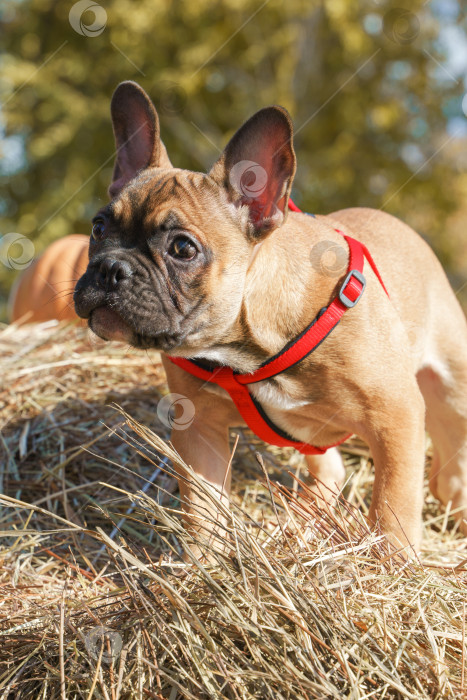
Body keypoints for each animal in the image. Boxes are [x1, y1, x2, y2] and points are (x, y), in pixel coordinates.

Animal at [74, 80, 467, 552]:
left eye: (182, 248)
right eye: (98, 228)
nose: (110, 269)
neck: (247, 346)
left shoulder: (396, 416)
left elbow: (393, 504)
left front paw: (390, 559)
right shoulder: (199, 429)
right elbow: (203, 512)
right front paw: (207, 561)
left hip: (451, 389)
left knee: (449, 473)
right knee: (330, 466)